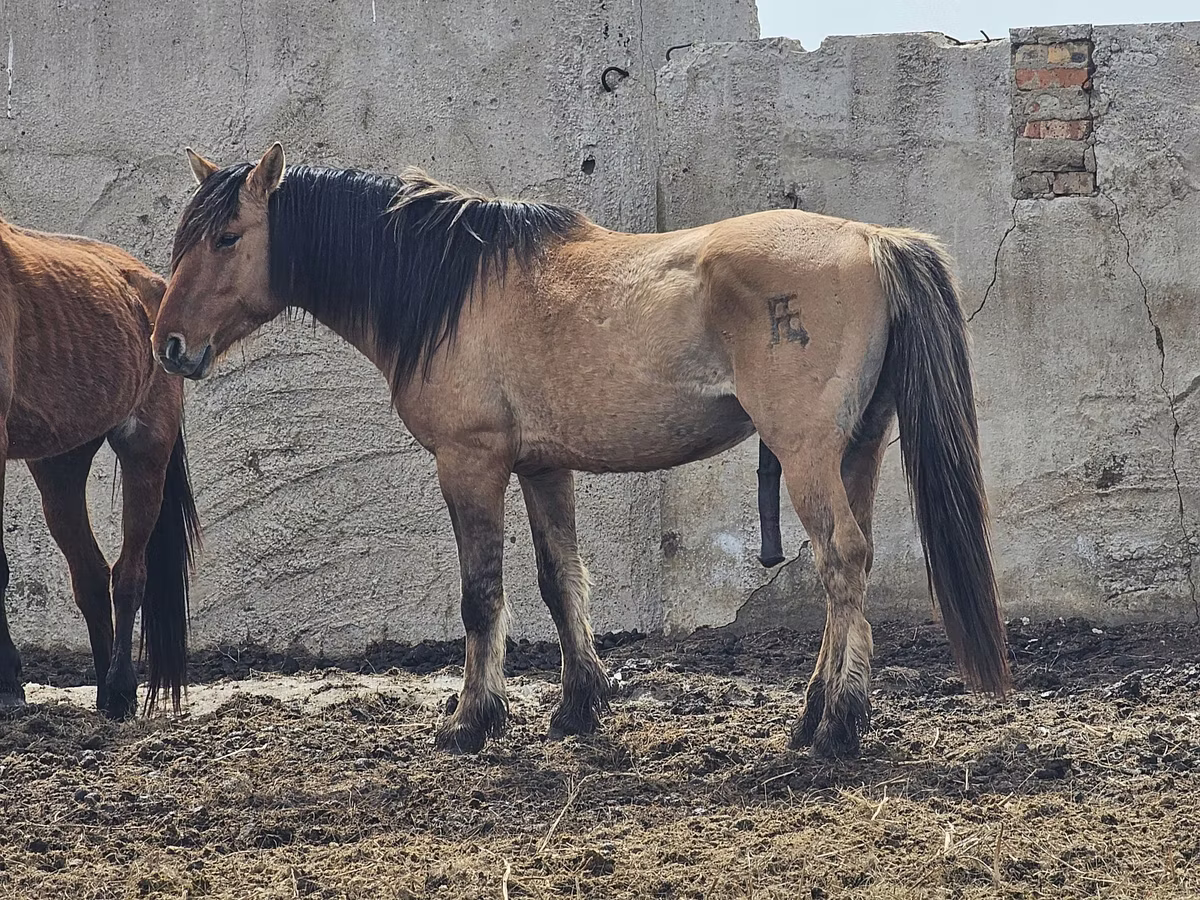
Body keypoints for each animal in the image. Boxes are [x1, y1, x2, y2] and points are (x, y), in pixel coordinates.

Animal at [0, 214, 201, 718]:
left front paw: (7, 684)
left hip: (144, 454)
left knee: (128, 574)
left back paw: (120, 690)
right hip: (59, 465)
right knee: (91, 574)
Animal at [153, 142, 1009, 759]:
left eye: (227, 236)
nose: (170, 346)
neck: (451, 286)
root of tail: (872, 239)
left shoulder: (470, 463)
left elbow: (483, 593)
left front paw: (472, 721)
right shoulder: (542, 466)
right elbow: (560, 579)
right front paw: (578, 705)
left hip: (803, 457)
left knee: (841, 562)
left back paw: (837, 726)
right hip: (852, 453)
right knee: (846, 569)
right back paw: (812, 716)